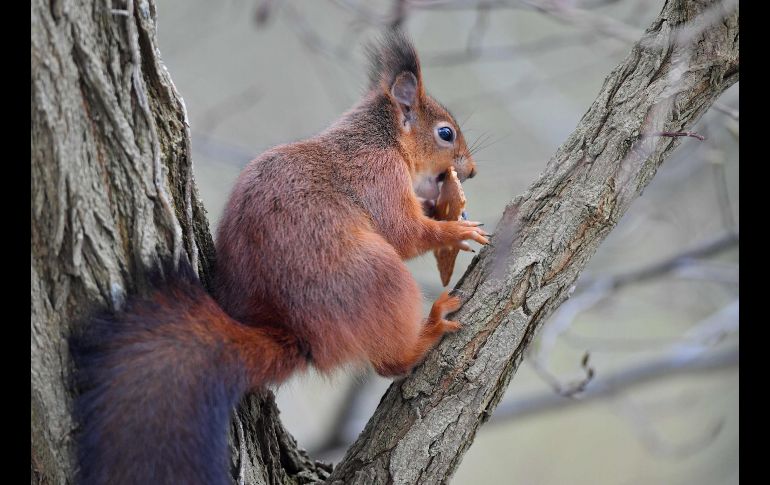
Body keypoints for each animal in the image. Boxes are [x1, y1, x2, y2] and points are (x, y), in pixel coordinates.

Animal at [69, 31, 487, 485]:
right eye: (445, 133)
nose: (472, 170)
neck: (379, 138)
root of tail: (297, 333)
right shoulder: (379, 176)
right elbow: (403, 233)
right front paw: (455, 230)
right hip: (380, 277)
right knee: (390, 363)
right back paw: (429, 328)